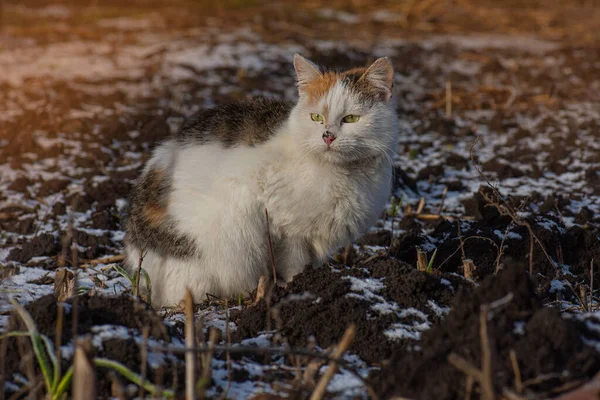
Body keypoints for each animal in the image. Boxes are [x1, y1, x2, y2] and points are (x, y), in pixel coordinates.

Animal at [123, 54, 398, 306]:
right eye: (316, 118)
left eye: (351, 119)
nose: (327, 136)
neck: (342, 173)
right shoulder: (286, 229)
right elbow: (294, 264)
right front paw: (297, 286)